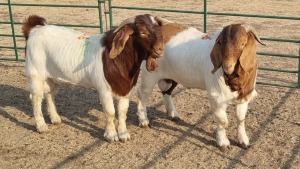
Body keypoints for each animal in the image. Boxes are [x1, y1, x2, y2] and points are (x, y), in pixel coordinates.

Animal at [22, 13, 165, 142]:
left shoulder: (125, 90)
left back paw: (55, 119)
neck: (117, 60)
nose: (160, 49)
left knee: (50, 94)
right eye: (142, 32)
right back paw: (41, 126)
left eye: (158, 28)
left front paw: (123, 134)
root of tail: (33, 32)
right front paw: (111, 135)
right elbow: (110, 112)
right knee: (36, 98)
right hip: (36, 75)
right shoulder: (104, 90)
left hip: (52, 77)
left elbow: (122, 112)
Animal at [137, 20, 266, 151]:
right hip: (149, 74)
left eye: (243, 44)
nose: (227, 66)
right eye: (222, 43)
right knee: (142, 94)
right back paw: (144, 121)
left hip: (171, 76)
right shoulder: (217, 96)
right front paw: (223, 143)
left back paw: (174, 115)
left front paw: (243, 141)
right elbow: (223, 120)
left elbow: (241, 118)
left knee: (166, 91)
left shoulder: (244, 95)